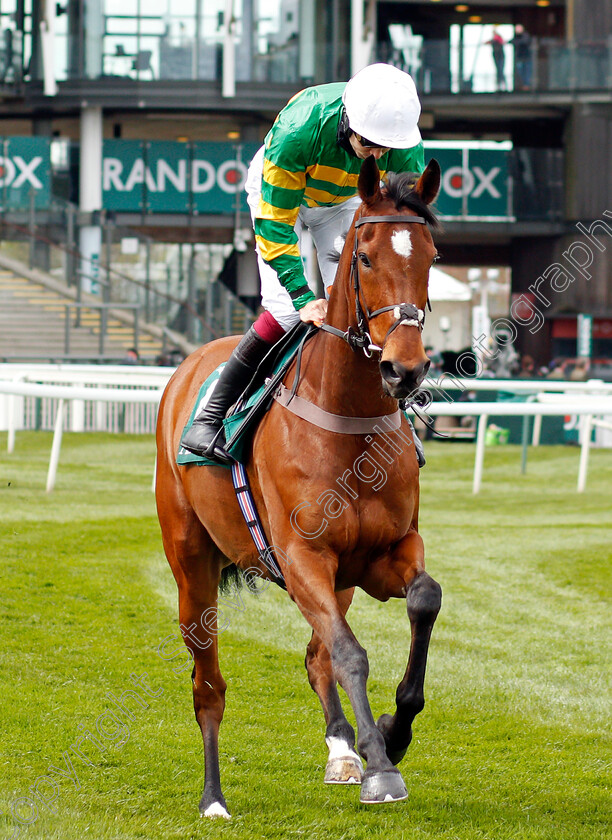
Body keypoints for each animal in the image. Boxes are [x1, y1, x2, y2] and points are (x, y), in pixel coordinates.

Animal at [157, 154, 444, 816]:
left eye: (431, 255)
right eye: (365, 258)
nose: (405, 368)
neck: (347, 419)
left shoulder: (384, 554)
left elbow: (423, 599)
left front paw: (391, 733)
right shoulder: (302, 555)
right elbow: (350, 654)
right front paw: (382, 768)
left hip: (335, 581)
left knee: (316, 657)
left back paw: (342, 750)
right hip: (191, 563)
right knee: (208, 683)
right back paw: (213, 797)